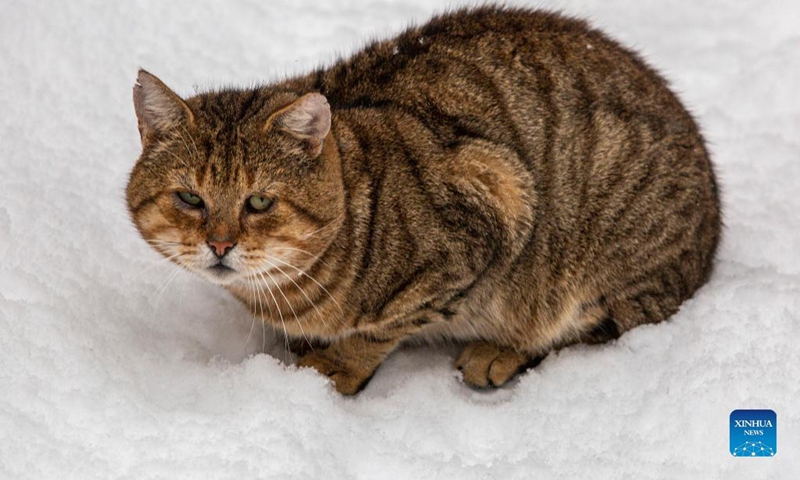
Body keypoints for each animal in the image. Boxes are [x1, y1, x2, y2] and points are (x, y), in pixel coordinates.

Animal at [125, 6, 720, 394]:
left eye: (259, 203)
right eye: (190, 197)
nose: (220, 244)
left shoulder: (494, 200)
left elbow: (381, 329)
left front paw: (340, 366)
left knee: (598, 329)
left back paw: (498, 353)